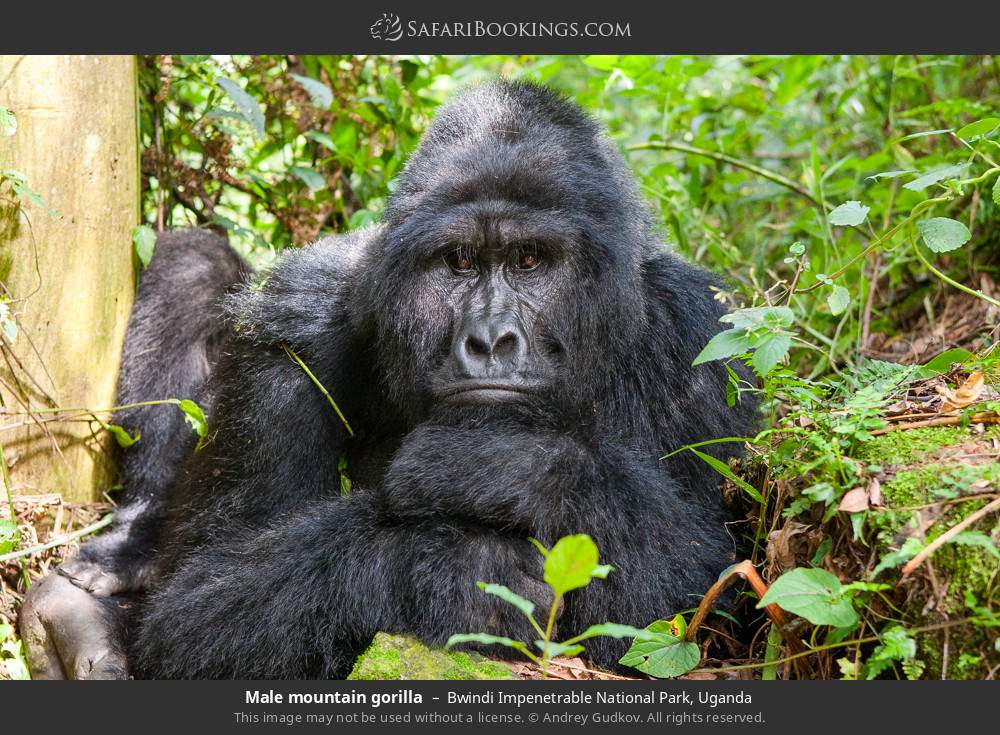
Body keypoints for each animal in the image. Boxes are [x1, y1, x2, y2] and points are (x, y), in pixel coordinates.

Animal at [19, 80, 752, 680]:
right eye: (459, 261)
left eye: (529, 260)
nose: (490, 341)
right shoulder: (295, 325)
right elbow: (197, 606)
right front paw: (456, 569)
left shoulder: (699, 338)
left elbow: (694, 590)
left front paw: (510, 465)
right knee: (194, 256)